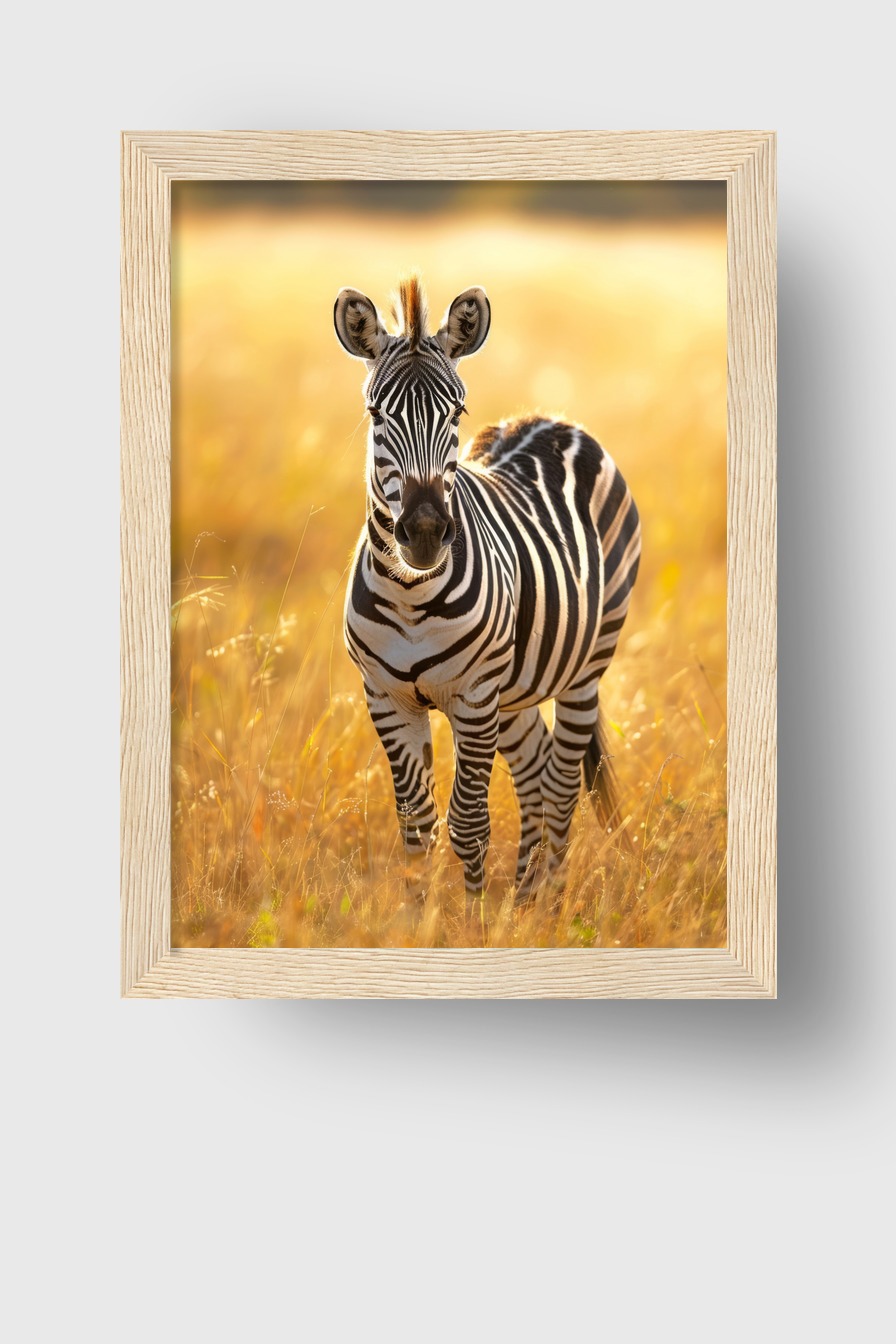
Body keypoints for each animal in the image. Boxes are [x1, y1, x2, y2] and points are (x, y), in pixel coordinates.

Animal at [334, 276, 641, 907]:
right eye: (376, 414)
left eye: (456, 411)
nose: (426, 531)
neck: (411, 598)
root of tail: (550, 418)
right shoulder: (385, 696)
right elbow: (416, 824)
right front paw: (419, 918)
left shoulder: (474, 697)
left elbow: (469, 822)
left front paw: (473, 918)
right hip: (515, 687)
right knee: (535, 768)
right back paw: (522, 898)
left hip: (586, 667)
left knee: (561, 782)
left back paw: (549, 902)